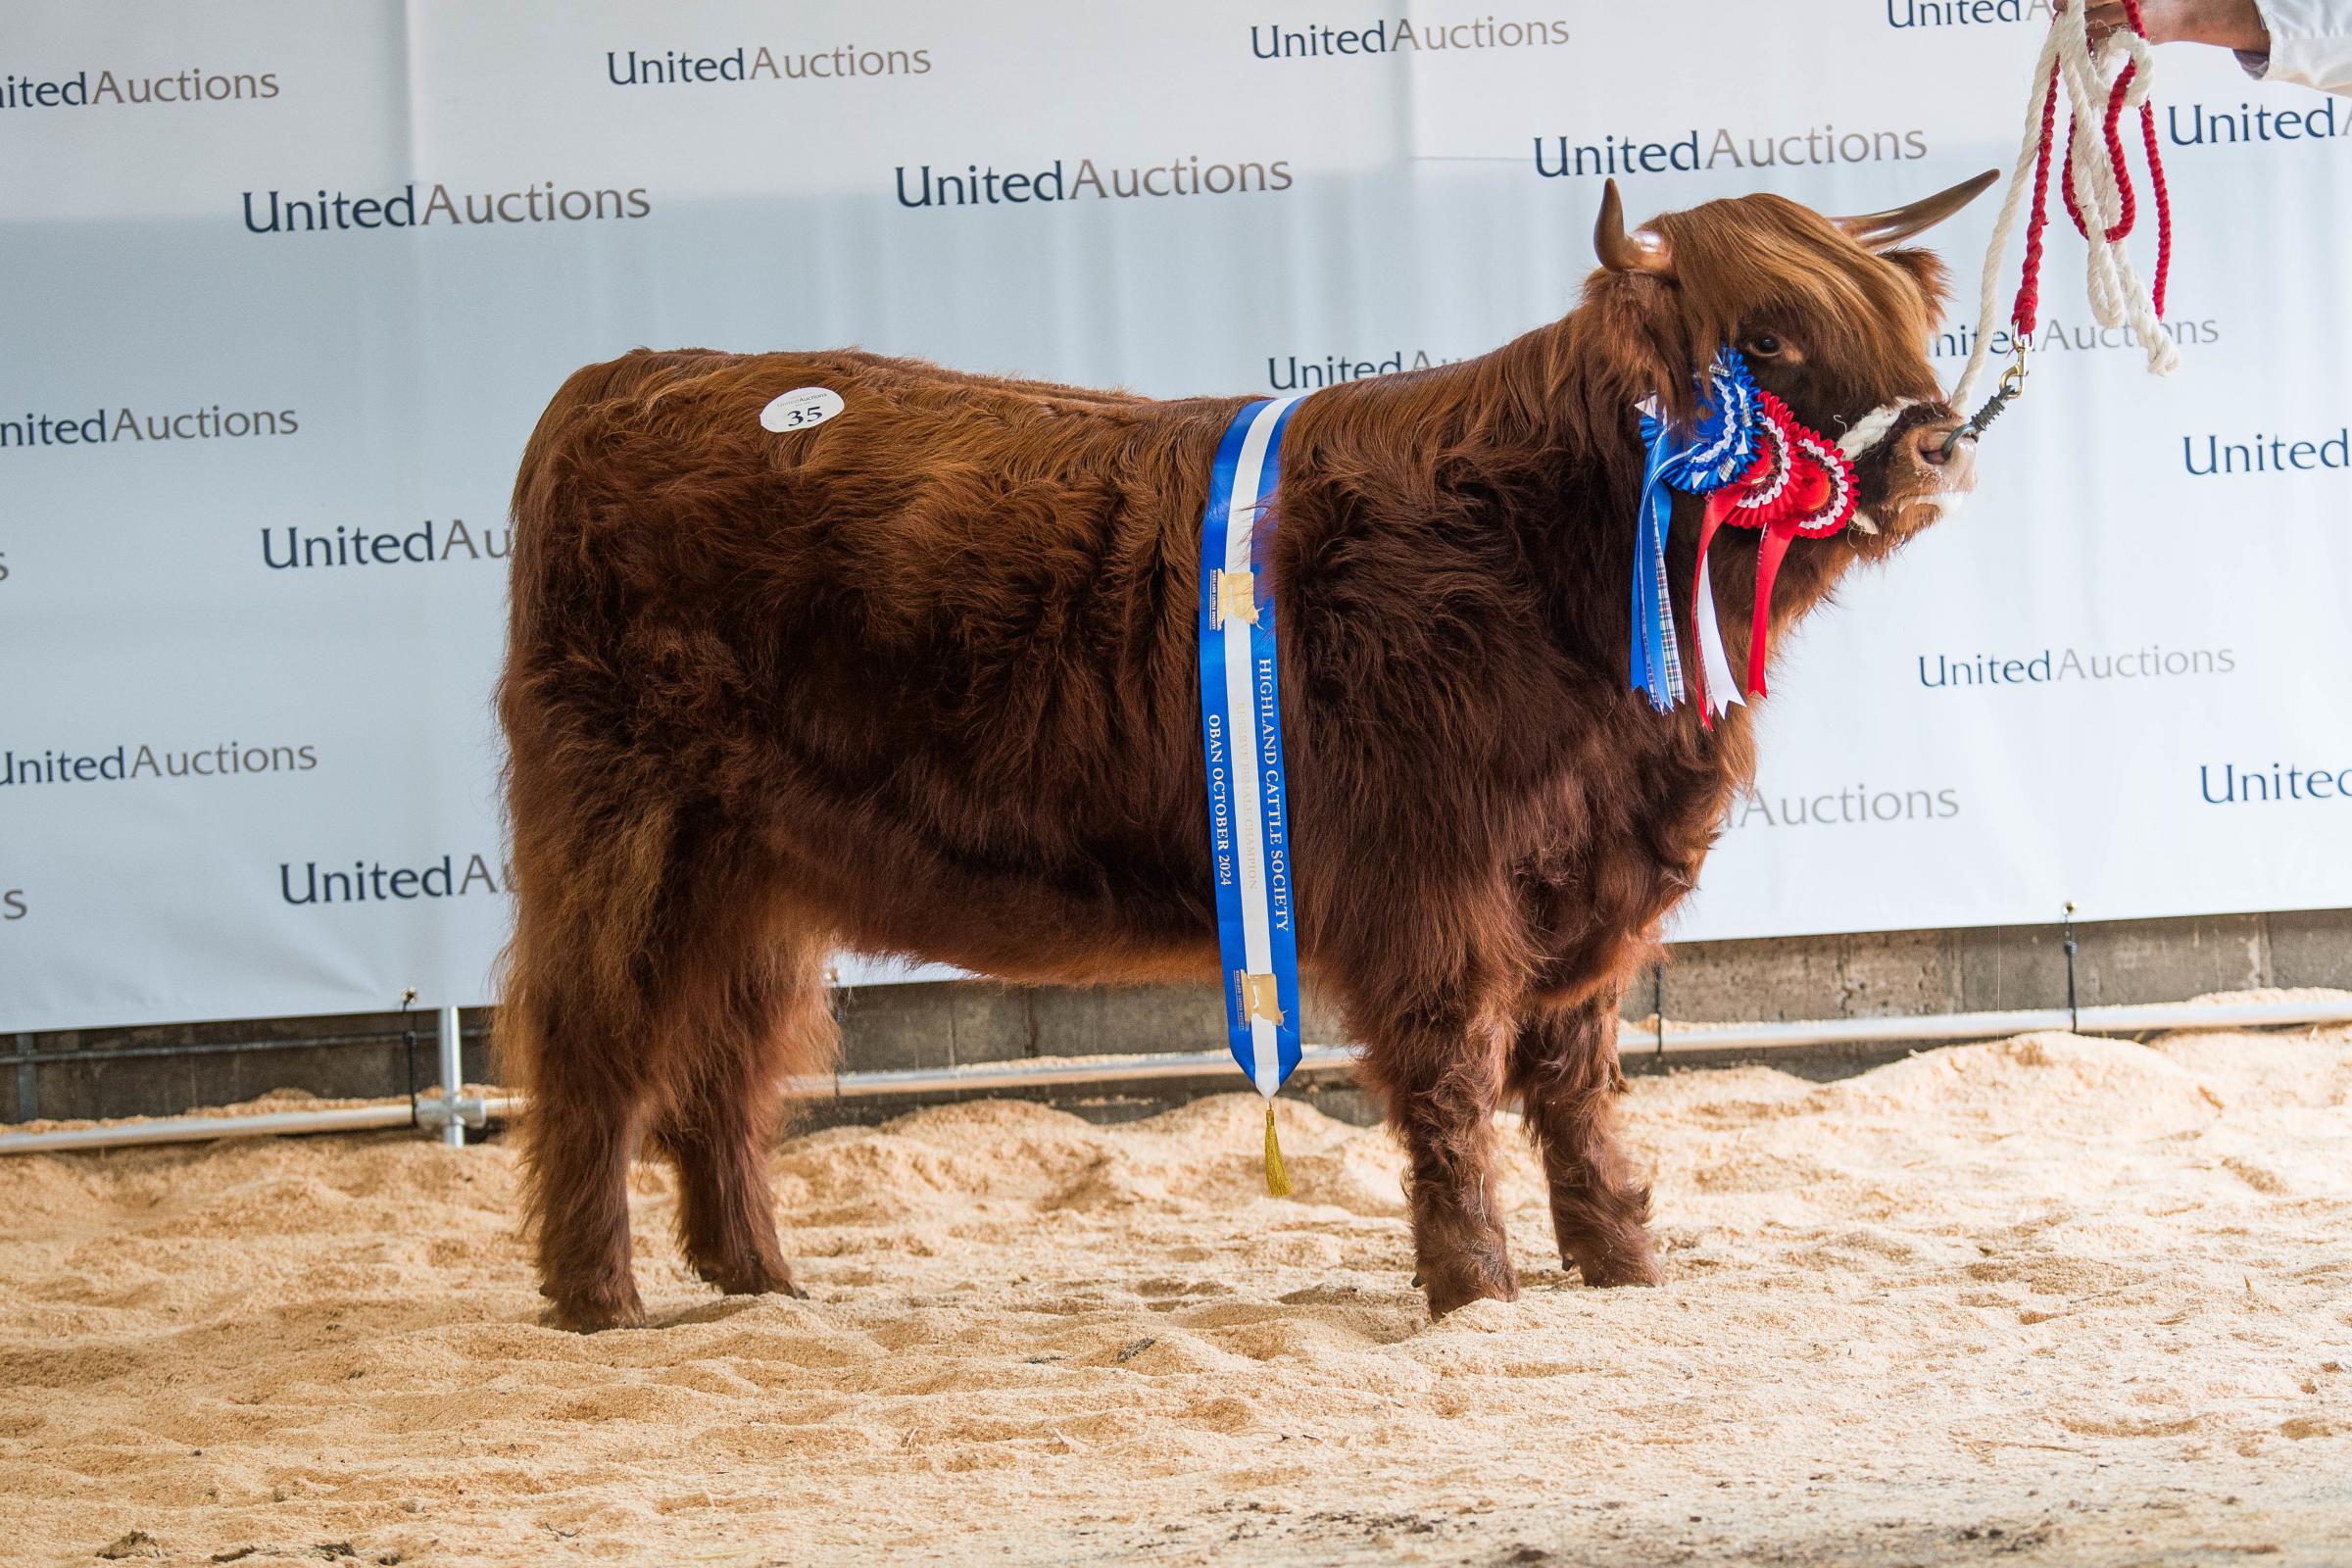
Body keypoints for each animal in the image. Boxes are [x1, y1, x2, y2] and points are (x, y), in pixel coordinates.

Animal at [506, 172, 1994, 1335]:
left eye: (1902, 318)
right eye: (1768, 339)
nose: (1940, 441)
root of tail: (622, 381)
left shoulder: (1585, 884)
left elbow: (1577, 1083)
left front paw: (1620, 1265)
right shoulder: (1429, 879)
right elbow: (1454, 1074)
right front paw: (1478, 1288)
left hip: (752, 865)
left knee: (722, 1063)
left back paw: (758, 1281)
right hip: (622, 830)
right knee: (593, 1043)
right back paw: (599, 1300)